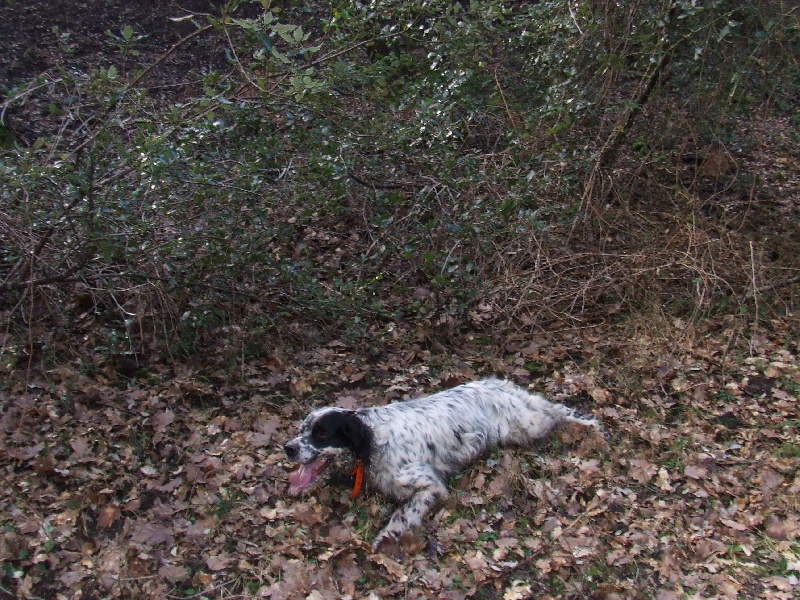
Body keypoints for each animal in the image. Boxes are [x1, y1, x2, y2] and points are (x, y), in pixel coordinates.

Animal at [284, 380, 596, 548]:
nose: (287, 448)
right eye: (302, 429)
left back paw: (591, 426)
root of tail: (499, 383)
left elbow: (404, 512)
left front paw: (387, 535)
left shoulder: (430, 484)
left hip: (528, 425)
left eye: (321, 434)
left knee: (557, 410)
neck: (373, 441)